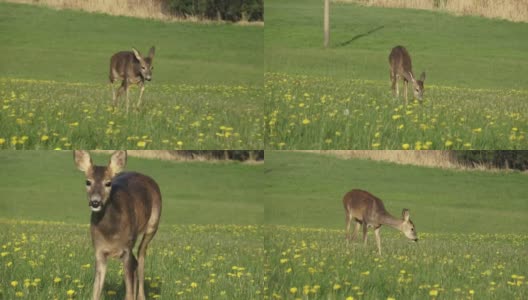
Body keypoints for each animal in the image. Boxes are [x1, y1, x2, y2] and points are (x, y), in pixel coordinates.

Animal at [73, 151, 162, 300]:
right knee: (135, 262)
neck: (111, 232)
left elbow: (129, 293)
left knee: (141, 256)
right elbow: (96, 290)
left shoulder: (126, 249)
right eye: (88, 181)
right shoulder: (99, 250)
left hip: (152, 225)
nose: (95, 202)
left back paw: (141, 296)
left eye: (108, 183)